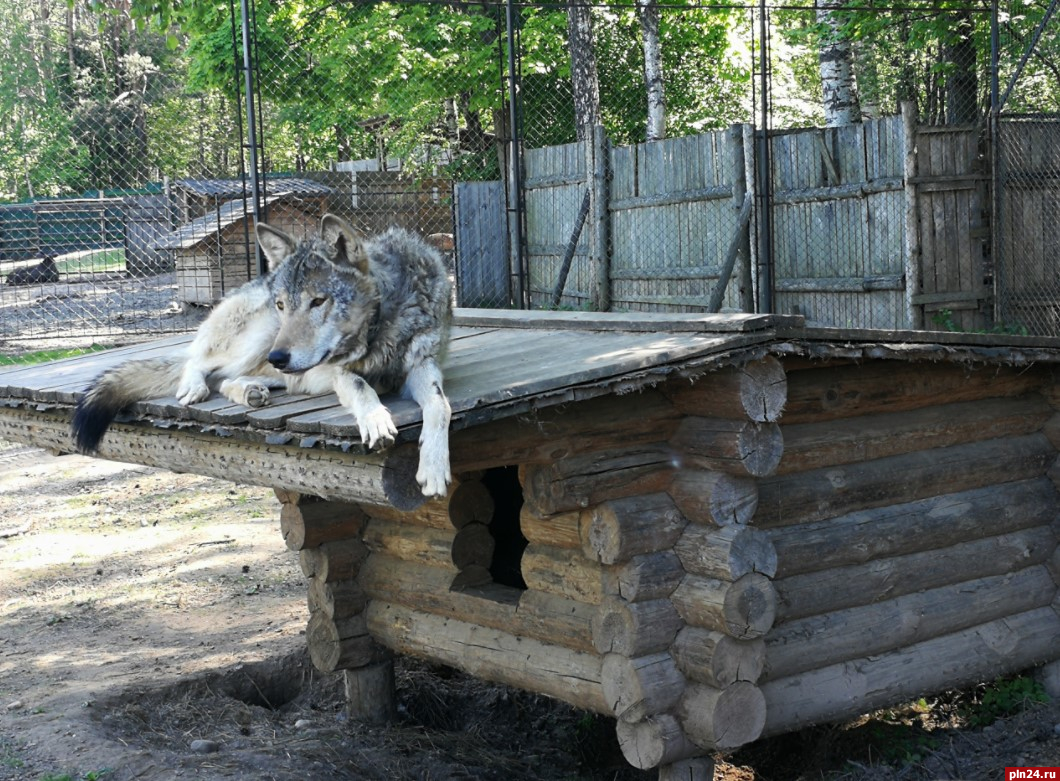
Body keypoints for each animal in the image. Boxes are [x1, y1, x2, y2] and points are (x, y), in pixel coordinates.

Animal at [72, 212, 453, 495]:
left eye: (318, 301)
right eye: (283, 304)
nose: (279, 357)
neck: (381, 330)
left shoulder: (423, 365)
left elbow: (440, 406)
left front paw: (434, 468)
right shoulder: (340, 371)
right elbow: (363, 388)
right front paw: (376, 420)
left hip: (277, 364)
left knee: (232, 380)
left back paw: (251, 392)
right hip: (258, 338)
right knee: (199, 364)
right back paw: (196, 387)